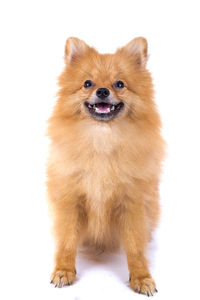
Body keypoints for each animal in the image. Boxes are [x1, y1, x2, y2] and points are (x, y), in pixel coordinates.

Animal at [46, 37, 164, 296]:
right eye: (87, 83)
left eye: (119, 84)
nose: (102, 90)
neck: (101, 140)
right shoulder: (71, 200)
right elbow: (67, 241)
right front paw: (64, 270)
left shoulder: (131, 203)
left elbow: (135, 247)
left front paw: (141, 277)